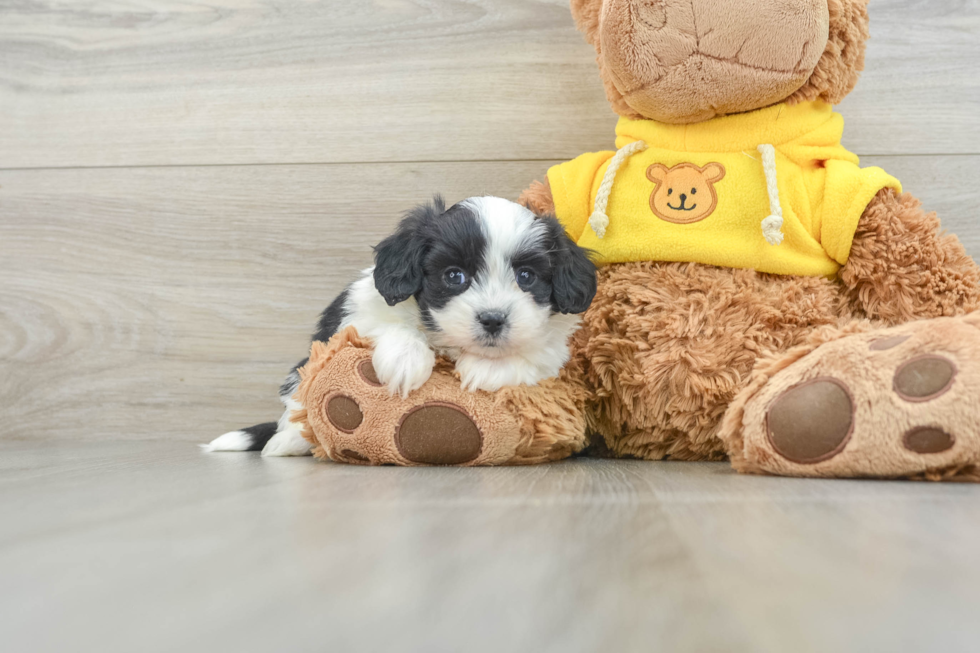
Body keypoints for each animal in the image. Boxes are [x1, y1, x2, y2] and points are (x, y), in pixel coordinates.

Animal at [205, 196, 596, 456]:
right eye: (454, 276)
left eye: (526, 277)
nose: (493, 319)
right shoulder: (361, 311)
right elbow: (389, 325)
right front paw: (406, 360)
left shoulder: (554, 346)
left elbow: (532, 354)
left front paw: (488, 367)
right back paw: (287, 441)